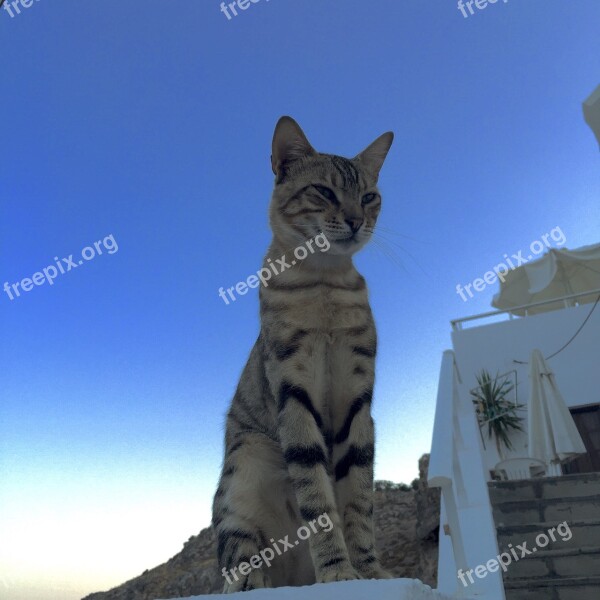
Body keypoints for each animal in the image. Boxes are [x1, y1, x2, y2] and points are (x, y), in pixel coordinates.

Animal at [211, 115, 394, 592]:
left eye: (369, 196)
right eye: (324, 192)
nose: (356, 220)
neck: (324, 283)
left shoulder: (358, 401)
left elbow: (359, 501)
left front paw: (368, 571)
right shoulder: (293, 392)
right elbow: (317, 498)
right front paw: (337, 571)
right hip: (243, 466)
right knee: (237, 558)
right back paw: (253, 582)